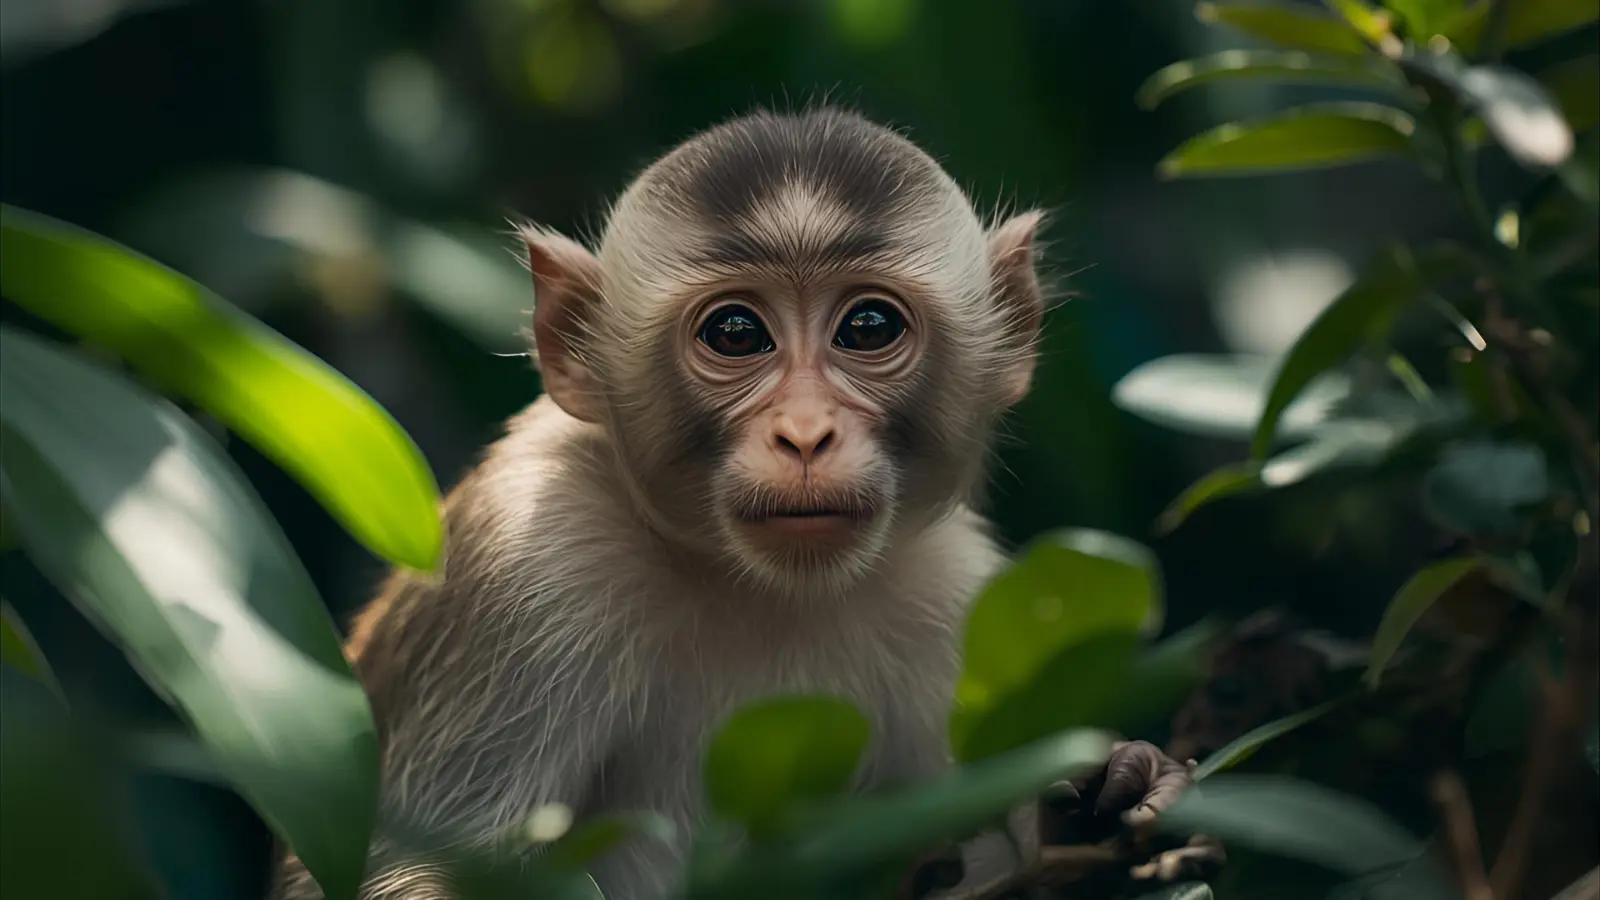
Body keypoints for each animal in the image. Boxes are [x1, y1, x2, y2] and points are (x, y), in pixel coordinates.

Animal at [269, 107, 1214, 900]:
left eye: (869, 327)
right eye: (734, 333)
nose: (804, 434)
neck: (756, 586)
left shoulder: (954, 595)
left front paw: (1108, 800)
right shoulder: (529, 561)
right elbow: (413, 872)